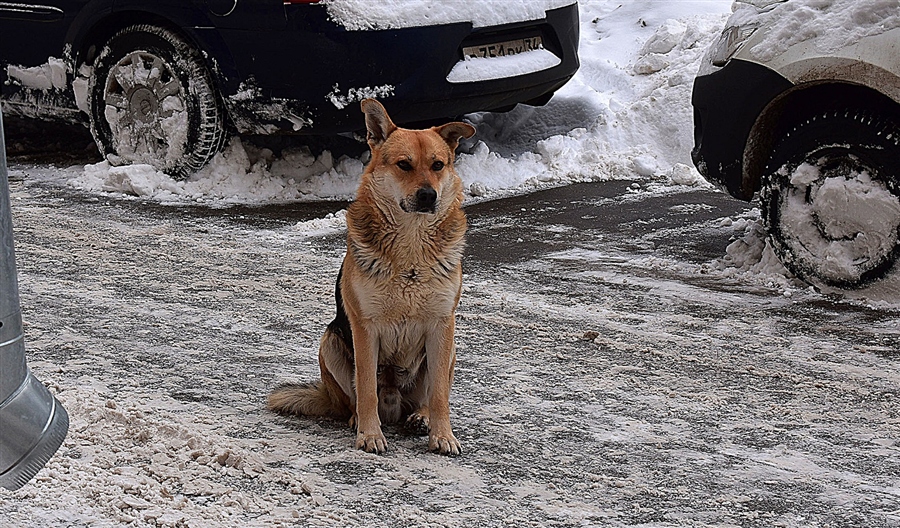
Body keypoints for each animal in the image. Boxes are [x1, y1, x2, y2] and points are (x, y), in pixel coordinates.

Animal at [268, 101, 474, 456]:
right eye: (404, 165)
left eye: (438, 165)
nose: (428, 196)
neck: (411, 245)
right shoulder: (365, 327)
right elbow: (365, 388)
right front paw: (369, 434)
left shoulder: (441, 324)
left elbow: (439, 394)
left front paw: (443, 434)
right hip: (331, 341)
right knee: (352, 399)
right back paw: (357, 419)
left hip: (450, 348)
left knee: (428, 394)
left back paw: (421, 417)